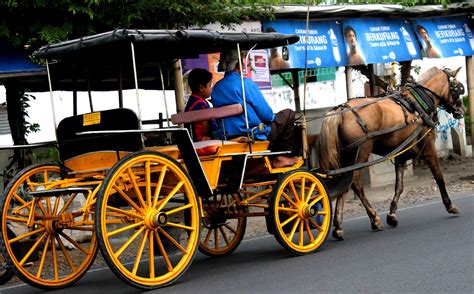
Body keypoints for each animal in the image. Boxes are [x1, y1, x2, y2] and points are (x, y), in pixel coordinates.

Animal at [316, 68, 464, 240]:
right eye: (457, 88)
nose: (462, 110)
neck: (419, 104)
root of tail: (340, 110)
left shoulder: (401, 154)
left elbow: (399, 186)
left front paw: (392, 214)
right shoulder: (428, 149)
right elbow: (439, 178)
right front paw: (450, 205)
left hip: (346, 157)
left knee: (345, 184)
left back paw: (341, 225)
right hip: (361, 153)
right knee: (355, 184)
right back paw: (370, 219)